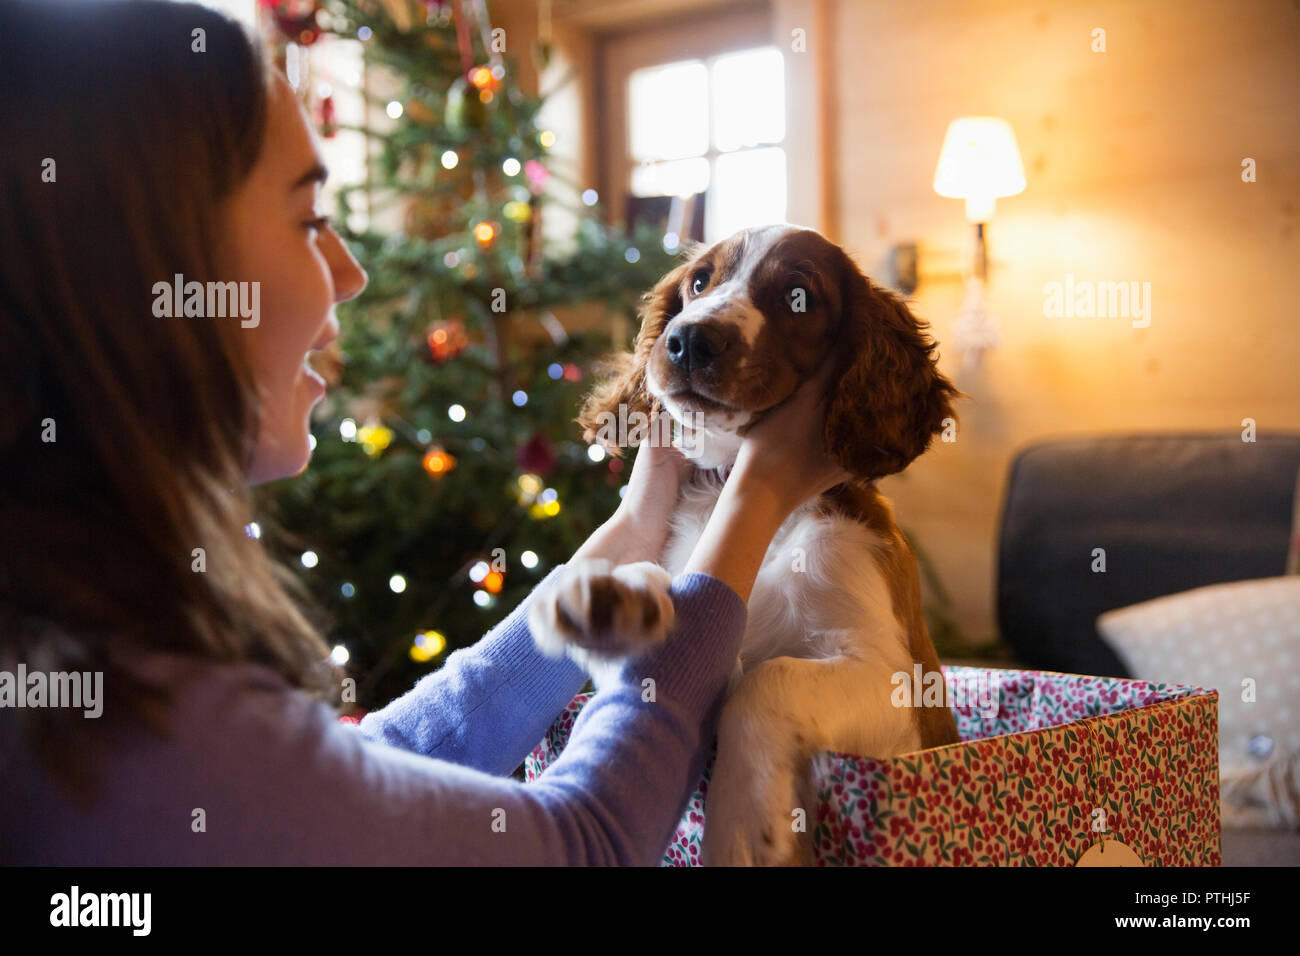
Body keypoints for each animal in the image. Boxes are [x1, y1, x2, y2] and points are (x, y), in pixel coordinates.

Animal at [527, 223, 967, 868]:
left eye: (797, 296)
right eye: (699, 282)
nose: (688, 341)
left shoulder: (900, 688)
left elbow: (769, 678)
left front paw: (745, 828)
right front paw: (613, 604)